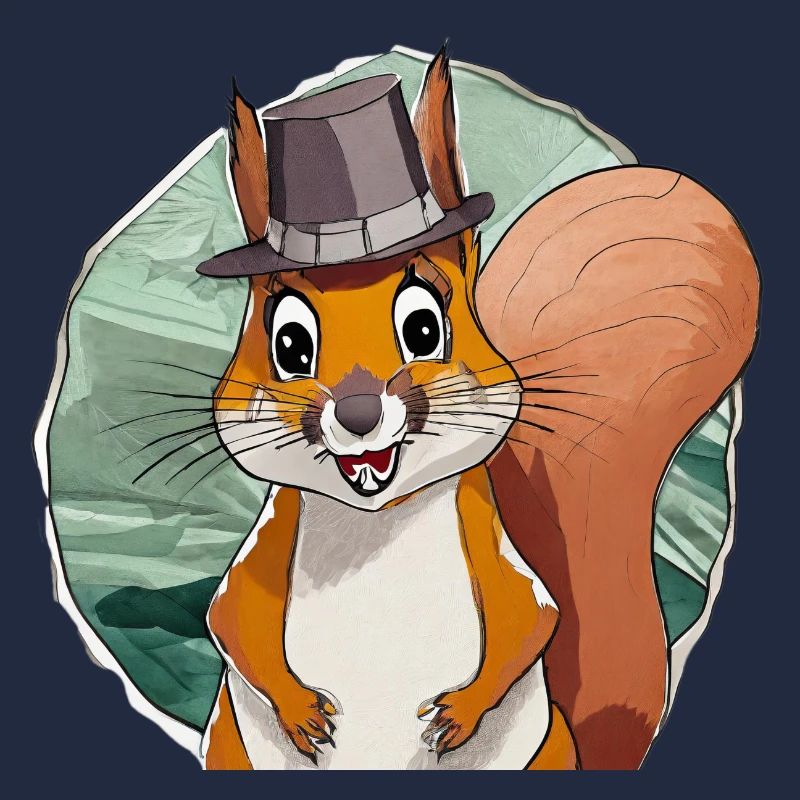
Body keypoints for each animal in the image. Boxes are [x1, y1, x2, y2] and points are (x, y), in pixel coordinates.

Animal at [197, 50, 759, 770]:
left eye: (425, 327)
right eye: (288, 343)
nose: (357, 413)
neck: (374, 526)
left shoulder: (492, 545)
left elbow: (535, 618)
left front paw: (458, 713)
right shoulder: (268, 543)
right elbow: (228, 618)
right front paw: (301, 711)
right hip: (228, 751)